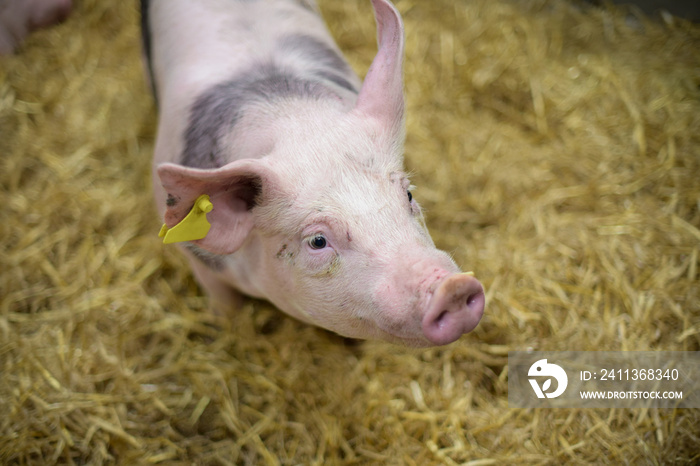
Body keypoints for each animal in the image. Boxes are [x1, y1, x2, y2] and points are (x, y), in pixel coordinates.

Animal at [145, 0, 484, 344]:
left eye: (409, 194)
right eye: (318, 241)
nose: (454, 288)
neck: (291, 116)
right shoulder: (197, 259)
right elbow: (224, 303)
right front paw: (224, 329)